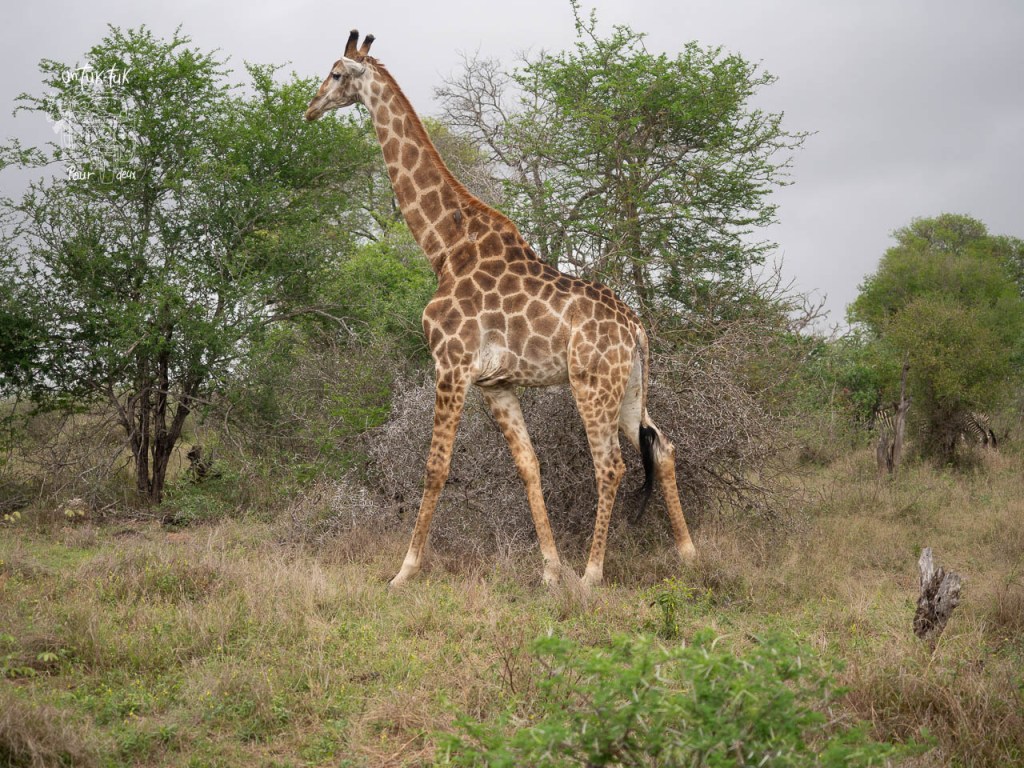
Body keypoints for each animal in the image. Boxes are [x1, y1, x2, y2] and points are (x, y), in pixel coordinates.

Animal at [305, 31, 696, 587]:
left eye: (336, 73)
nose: (311, 107)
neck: (444, 247)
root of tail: (637, 328)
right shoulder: (496, 382)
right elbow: (528, 465)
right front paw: (550, 570)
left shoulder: (451, 364)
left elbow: (435, 467)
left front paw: (404, 571)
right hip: (630, 388)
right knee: (661, 446)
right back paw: (688, 554)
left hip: (591, 383)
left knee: (612, 465)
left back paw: (593, 574)